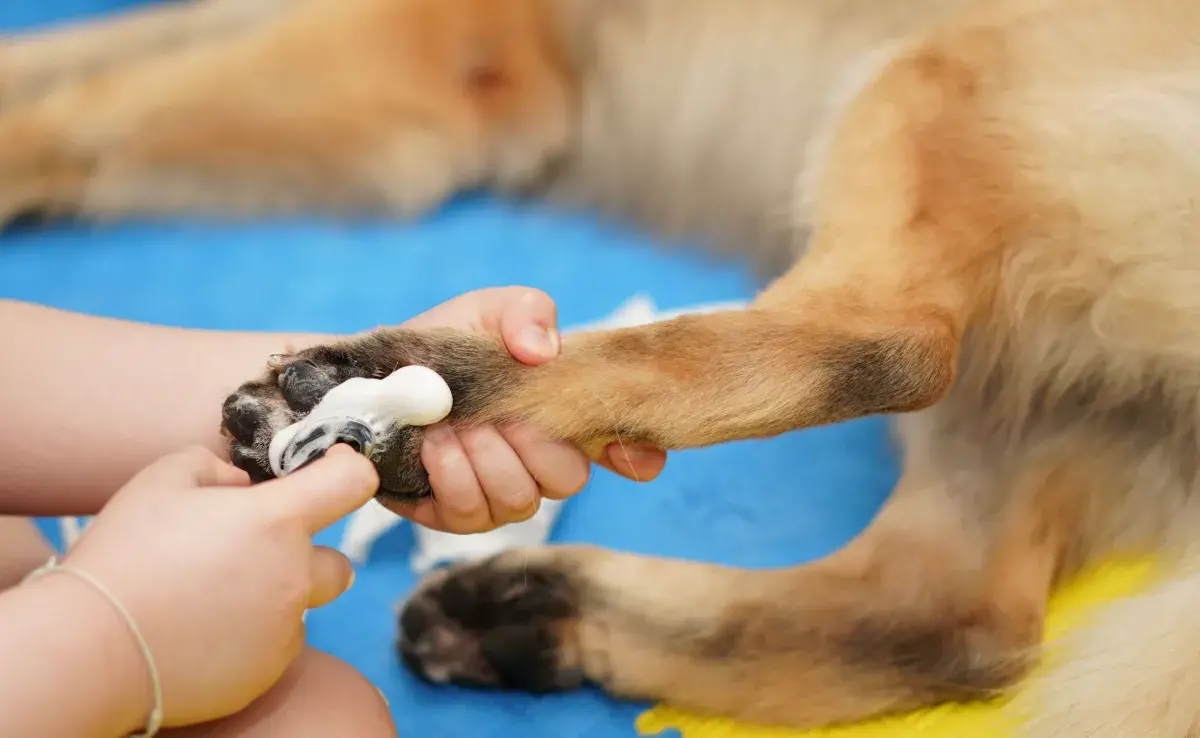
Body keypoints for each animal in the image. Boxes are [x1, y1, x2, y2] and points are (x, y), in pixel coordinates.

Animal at [7, 0, 1200, 734]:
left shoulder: (435, 44)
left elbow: (87, 105)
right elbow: (92, 52)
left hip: (934, 78)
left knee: (889, 341)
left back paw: (425, 401)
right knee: (950, 621)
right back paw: (535, 612)